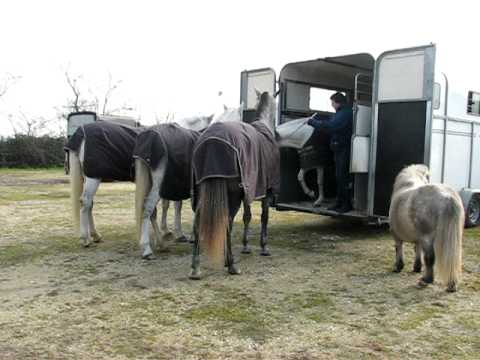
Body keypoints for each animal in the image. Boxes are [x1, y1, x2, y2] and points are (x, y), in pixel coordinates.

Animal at [188, 91, 278, 280]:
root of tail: (211, 141)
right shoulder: (266, 191)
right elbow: (264, 217)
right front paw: (264, 248)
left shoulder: (249, 190)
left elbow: (247, 216)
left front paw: (246, 246)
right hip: (233, 196)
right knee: (227, 223)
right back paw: (231, 265)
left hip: (202, 193)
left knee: (198, 224)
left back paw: (195, 268)